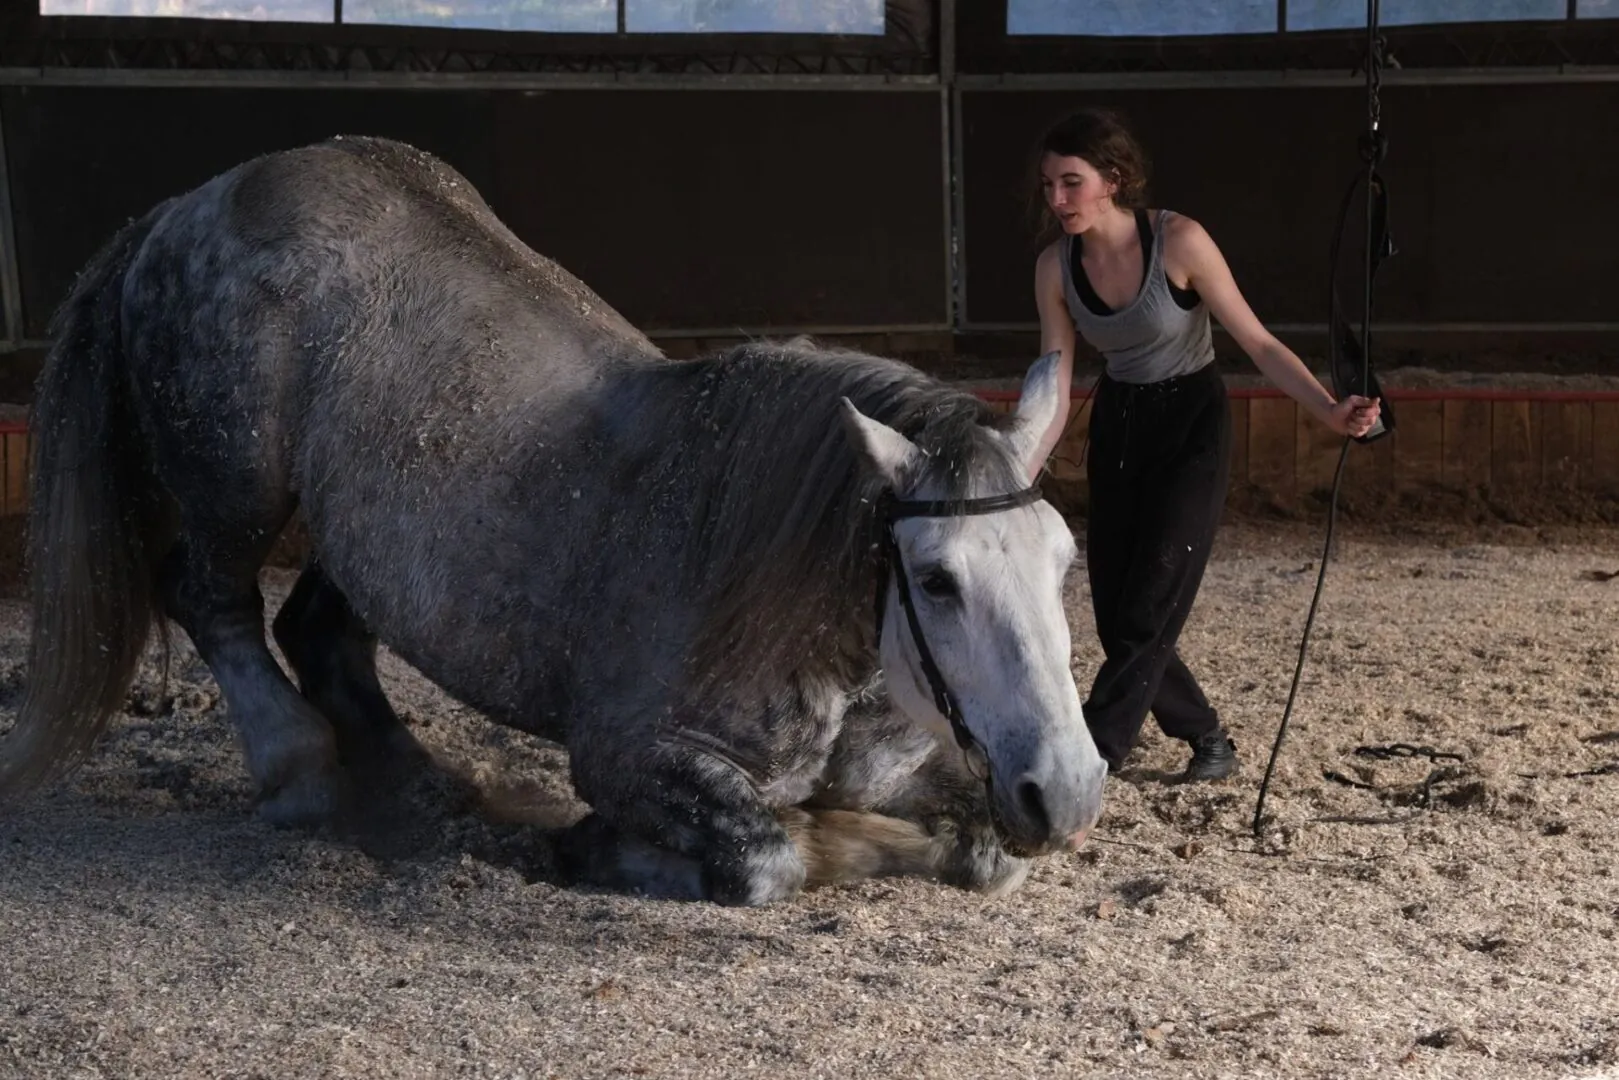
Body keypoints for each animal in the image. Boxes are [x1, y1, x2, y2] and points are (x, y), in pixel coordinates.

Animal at [0, 139, 1113, 906]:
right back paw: (303, 775)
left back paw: (425, 789)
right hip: (234, 484)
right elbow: (769, 857)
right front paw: (600, 848)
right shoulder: (630, 758)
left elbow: (982, 852)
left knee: (317, 628)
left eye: (1062, 559)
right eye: (934, 579)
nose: (1064, 790)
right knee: (211, 600)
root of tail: (181, 206)